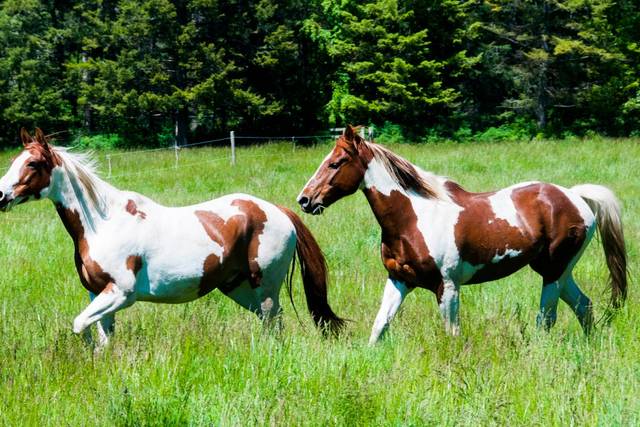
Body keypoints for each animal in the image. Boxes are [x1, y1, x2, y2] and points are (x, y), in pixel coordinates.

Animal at [0, 128, 343, 347]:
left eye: (32, 163)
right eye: (13, 161)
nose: (1, 196)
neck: (103, 222)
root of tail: (279, 211)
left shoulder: (121, 294)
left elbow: (80, 326)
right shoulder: (96, 293)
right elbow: (102, 339)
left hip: (266, 285)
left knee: (274, 321)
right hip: (238, 287)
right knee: (272, 322)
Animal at [297, 125, 627, 344]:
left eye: (335, 163)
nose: (305, 200)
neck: (413, 217)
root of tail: (575, 196)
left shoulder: (447, 287)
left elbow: (452, 334)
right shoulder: (399, 280)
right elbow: (380, 326)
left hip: (554, 271)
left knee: (547, 318)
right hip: (556, 270)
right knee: (583, 305)